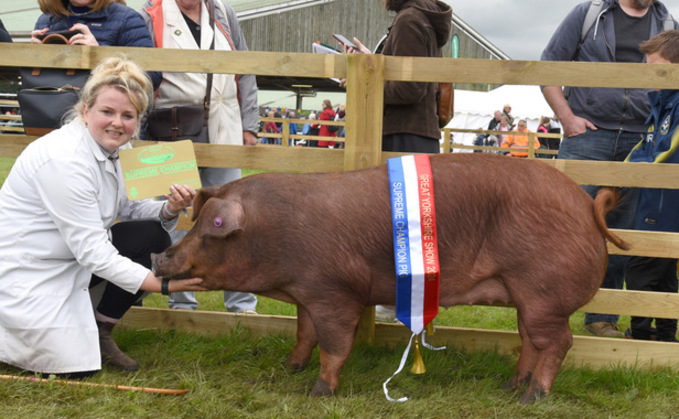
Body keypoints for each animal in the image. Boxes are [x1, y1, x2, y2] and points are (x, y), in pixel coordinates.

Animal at [151, 153, 628, 404]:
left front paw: (318, 392)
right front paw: (288, 368)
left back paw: (532, 398)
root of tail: (587, 206)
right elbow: (304, 334)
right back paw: (509, 388)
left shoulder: (334, 292)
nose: (159, 255)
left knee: (558, 342)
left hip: (544, 291)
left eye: (209, 228)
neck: (275, 234)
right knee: (530, 339)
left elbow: (334, 344)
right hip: (527, 296)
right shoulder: (307, 294)